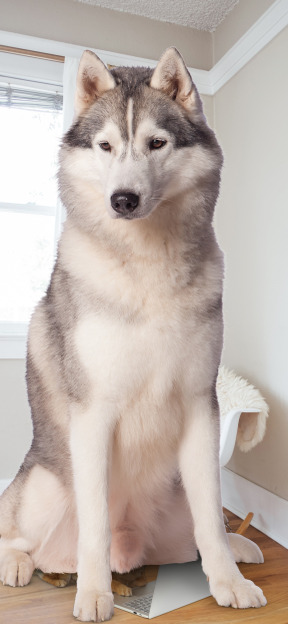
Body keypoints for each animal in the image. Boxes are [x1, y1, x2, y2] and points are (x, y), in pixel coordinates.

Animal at [0, 47, 266, 620]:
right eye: (106, 146)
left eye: (156, 143)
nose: (123, 199)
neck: (148, 265)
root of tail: (136, 550)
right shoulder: (94, 412)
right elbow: (95, 524)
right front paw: (94, 593)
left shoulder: (200, 404)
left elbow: (211, 516)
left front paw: (228, 582)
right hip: (45, 485)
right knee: (17, 532)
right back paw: (21, 563)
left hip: (174, 503)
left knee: (196, 534)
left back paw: (237, 549)